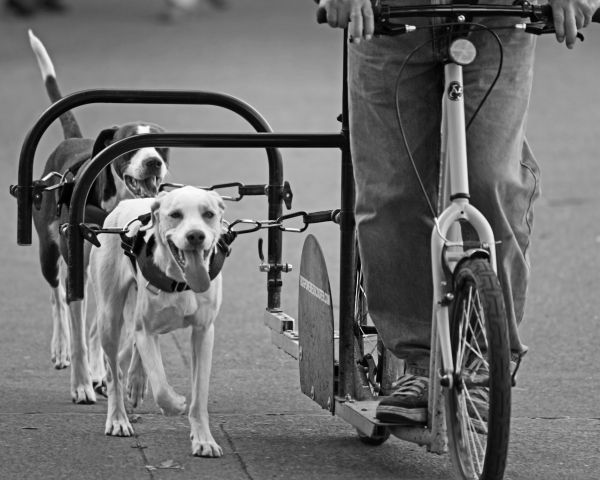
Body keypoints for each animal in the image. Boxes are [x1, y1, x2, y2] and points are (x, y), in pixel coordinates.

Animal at [28, 31, 169, 404]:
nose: (153, 161)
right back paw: (62, 350)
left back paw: (99, 370)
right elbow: (77, 326)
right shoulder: (77, 268)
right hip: (49, 253)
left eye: (161, 145)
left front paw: (124, 379)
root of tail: (75, 139)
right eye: (131, 142)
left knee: (97, 322)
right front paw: (80, 384)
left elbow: (126, 336)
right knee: (57, 297)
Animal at [90, 187, 226, 458]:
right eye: (175, 215)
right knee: (113, 372)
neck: (181, 282)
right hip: (109, 317)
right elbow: (161, 387)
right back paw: (118, 418)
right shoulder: (146, 331)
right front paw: (175, 405)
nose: (196, 235)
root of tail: (123, 205)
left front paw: (204, 440)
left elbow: (199, 396)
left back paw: (136, 381)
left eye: (208, 214)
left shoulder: (204, 332)